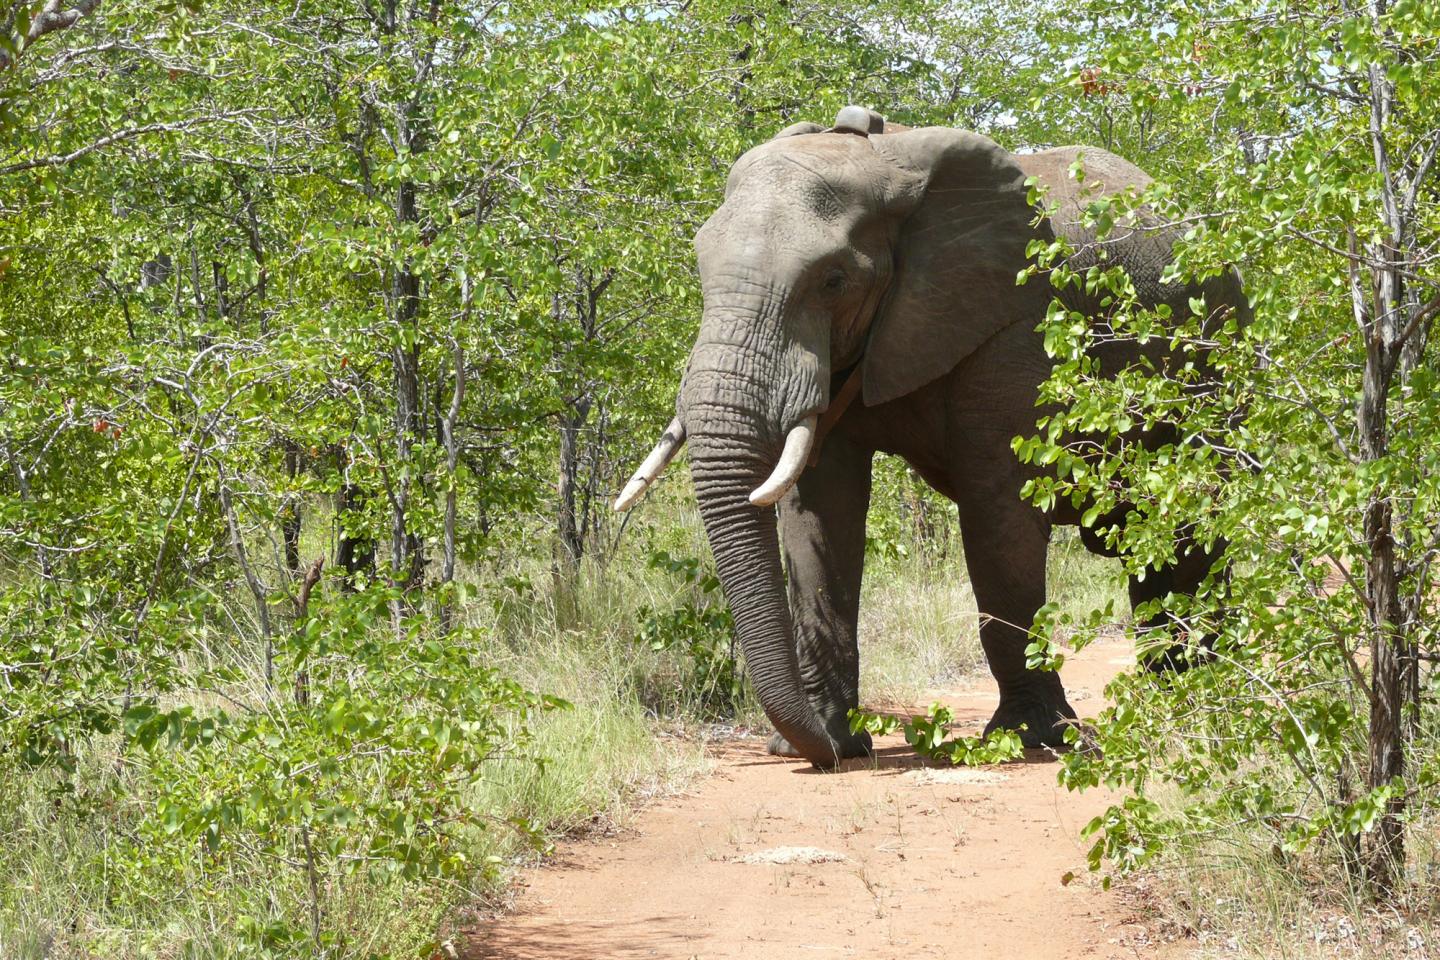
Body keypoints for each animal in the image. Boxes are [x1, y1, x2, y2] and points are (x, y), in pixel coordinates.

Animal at [615, 105, 1246, 769]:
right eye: (701, 269)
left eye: (833, 280)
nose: (821, 750)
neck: (883, 162)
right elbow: (821, 512)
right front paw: (832, 742)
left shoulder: (1015, 321)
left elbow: (999, 514)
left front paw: (1033, 739)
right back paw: (1170, 693)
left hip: (1220, 363)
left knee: (1193, 527)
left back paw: (1198, 696)